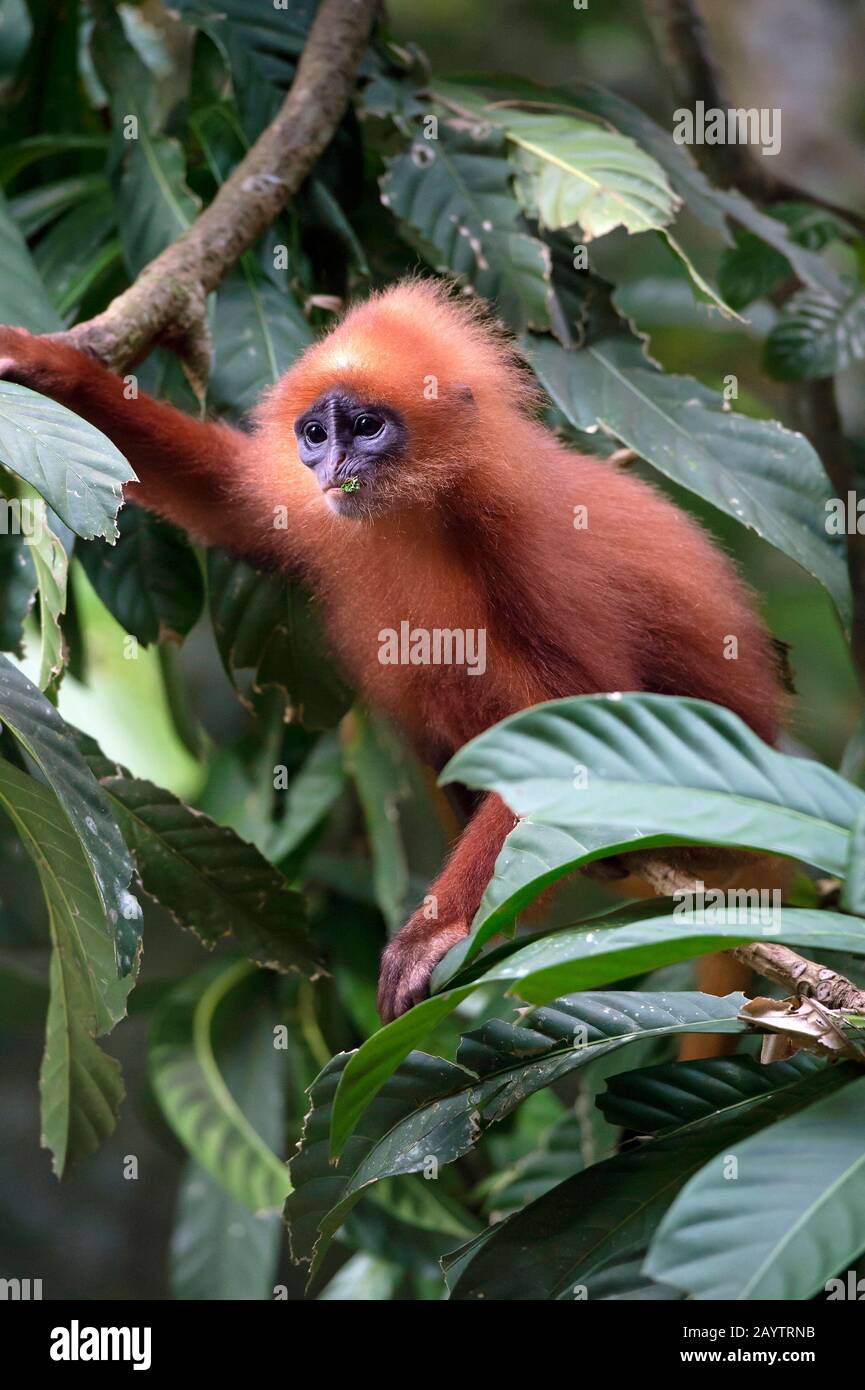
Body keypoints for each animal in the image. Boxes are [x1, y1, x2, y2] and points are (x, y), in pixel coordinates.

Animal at [0, 279, 784, 1022]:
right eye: (316, 434)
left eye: (367, 428)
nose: (333, 465)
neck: (423, 512)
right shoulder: (311, 505)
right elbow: (230, 502)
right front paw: (43, 366)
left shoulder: (531, 547)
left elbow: (578, 735)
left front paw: (432, 934)